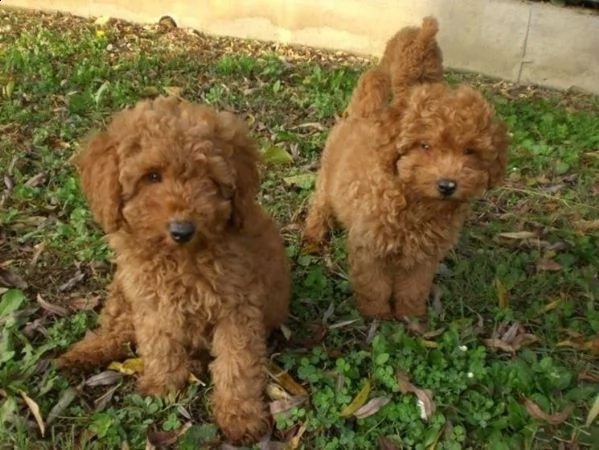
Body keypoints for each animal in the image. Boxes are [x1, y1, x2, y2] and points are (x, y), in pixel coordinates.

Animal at [57, 96, 292, 444]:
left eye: (207, 179)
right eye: (152, 176)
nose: (182, 229)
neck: (181, 258)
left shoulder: (237, 308)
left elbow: (237, 363)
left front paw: (240, 416)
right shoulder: (150, 298)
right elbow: (158, 341)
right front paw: (164, 383)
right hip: (123, 286)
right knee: (118, 327)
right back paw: (85, 352)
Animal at [302, 17, 508, 320]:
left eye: (470, 151)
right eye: (425, 146)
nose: (447, 185)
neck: (412, 197)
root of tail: (362, 113)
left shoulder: (423, 256)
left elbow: (414, 287)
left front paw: (410, 315)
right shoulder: (371, 248)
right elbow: (374, 284)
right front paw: (377, 314)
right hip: (327, 179)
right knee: (319, 205)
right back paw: (313, 236)